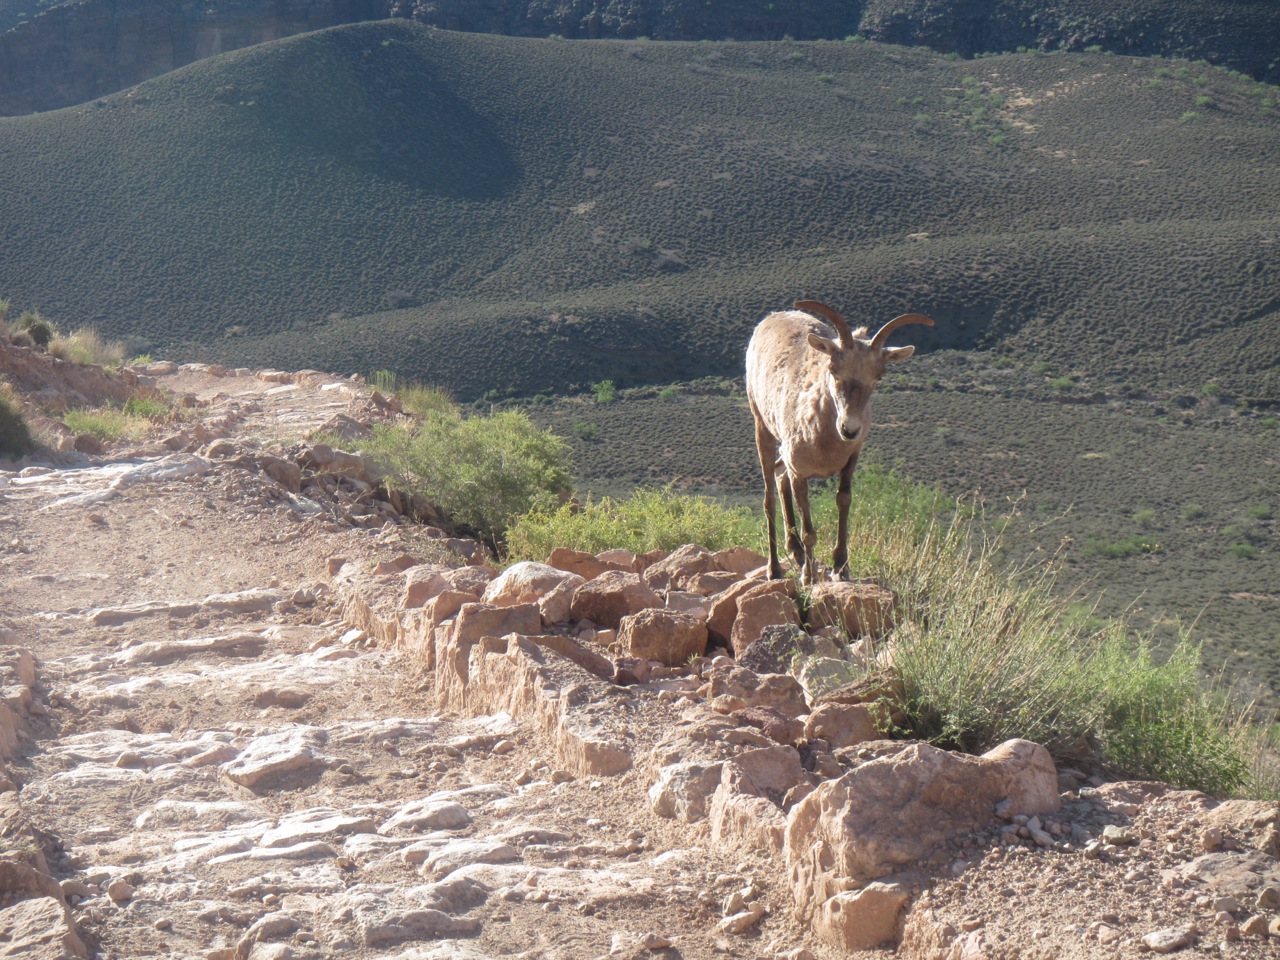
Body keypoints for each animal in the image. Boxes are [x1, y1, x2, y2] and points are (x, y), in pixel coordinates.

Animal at [747, 300, 936, 586]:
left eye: (878, 376)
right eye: (833, 370)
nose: (849, 429)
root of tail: (770, 318)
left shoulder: (850, 460)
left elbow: (843, 500)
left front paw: (841, 568)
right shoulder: (799, 472)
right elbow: (809, 529)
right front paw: (809, 577)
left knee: (780, 475)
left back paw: (796, 553)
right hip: (762, 425)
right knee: (769, 495)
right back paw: (775, 569)